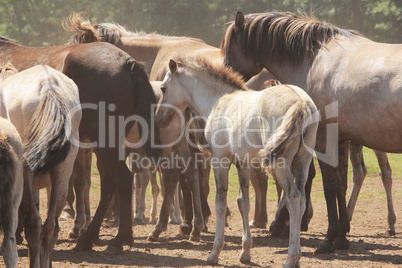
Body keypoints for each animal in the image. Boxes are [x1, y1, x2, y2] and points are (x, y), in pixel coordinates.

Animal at [0, 36, 160, 266]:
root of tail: (127, 62)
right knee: (109, 183)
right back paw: (90, 237)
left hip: (104, 142)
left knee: (122, 179)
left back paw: (117, 240)